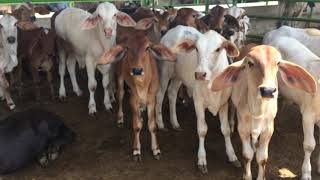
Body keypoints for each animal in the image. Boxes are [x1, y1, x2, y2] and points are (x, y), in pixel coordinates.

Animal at [99, 28, 176, 161]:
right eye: (128, 48)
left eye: (147, 48)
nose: (137, 70)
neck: (142, 85)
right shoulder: (133, 99)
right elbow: (136, 126)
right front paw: (136, 150)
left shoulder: (152, 99)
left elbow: (152, 125)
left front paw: (156, 149)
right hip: (120, 77)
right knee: (120, 96)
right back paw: (120, 118)